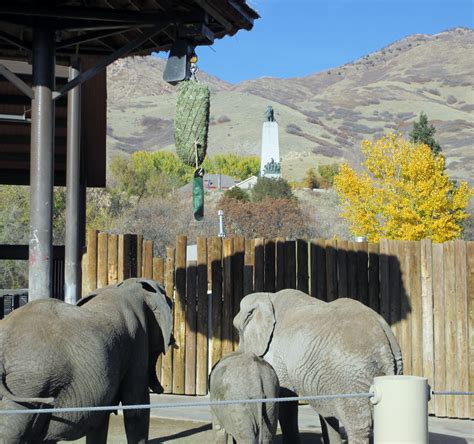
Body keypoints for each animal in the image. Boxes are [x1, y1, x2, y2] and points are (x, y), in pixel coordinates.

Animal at [0, 278, 174, 444]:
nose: (162, 389)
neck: (126, 286)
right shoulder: (137, 342)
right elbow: (136, 408)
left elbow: (100, 418)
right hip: (30, 383)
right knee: (15, 432)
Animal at [232, 290, 400, 442]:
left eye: (238, 329)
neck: (267, 297)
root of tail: (384, 345)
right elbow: (327, 413)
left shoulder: (277, 353)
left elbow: (286, 398)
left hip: (351, 376)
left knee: (358, 428)